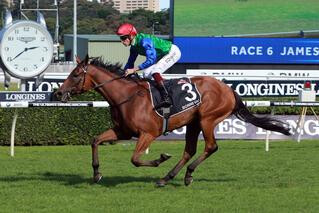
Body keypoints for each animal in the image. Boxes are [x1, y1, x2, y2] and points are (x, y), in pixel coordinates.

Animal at [55, 55, 292, 186]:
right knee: (190, 150)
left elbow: (135, 159)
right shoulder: (122, 131)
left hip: (207, 119)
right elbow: (95, 140)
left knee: (211, 147)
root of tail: (228, 88)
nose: (58, 93)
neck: (127, 96)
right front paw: (96, 174)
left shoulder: (148, 133)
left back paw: (186, 174)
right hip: (194, 123)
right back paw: (167, 178)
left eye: (75, 75)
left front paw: (160, 158)